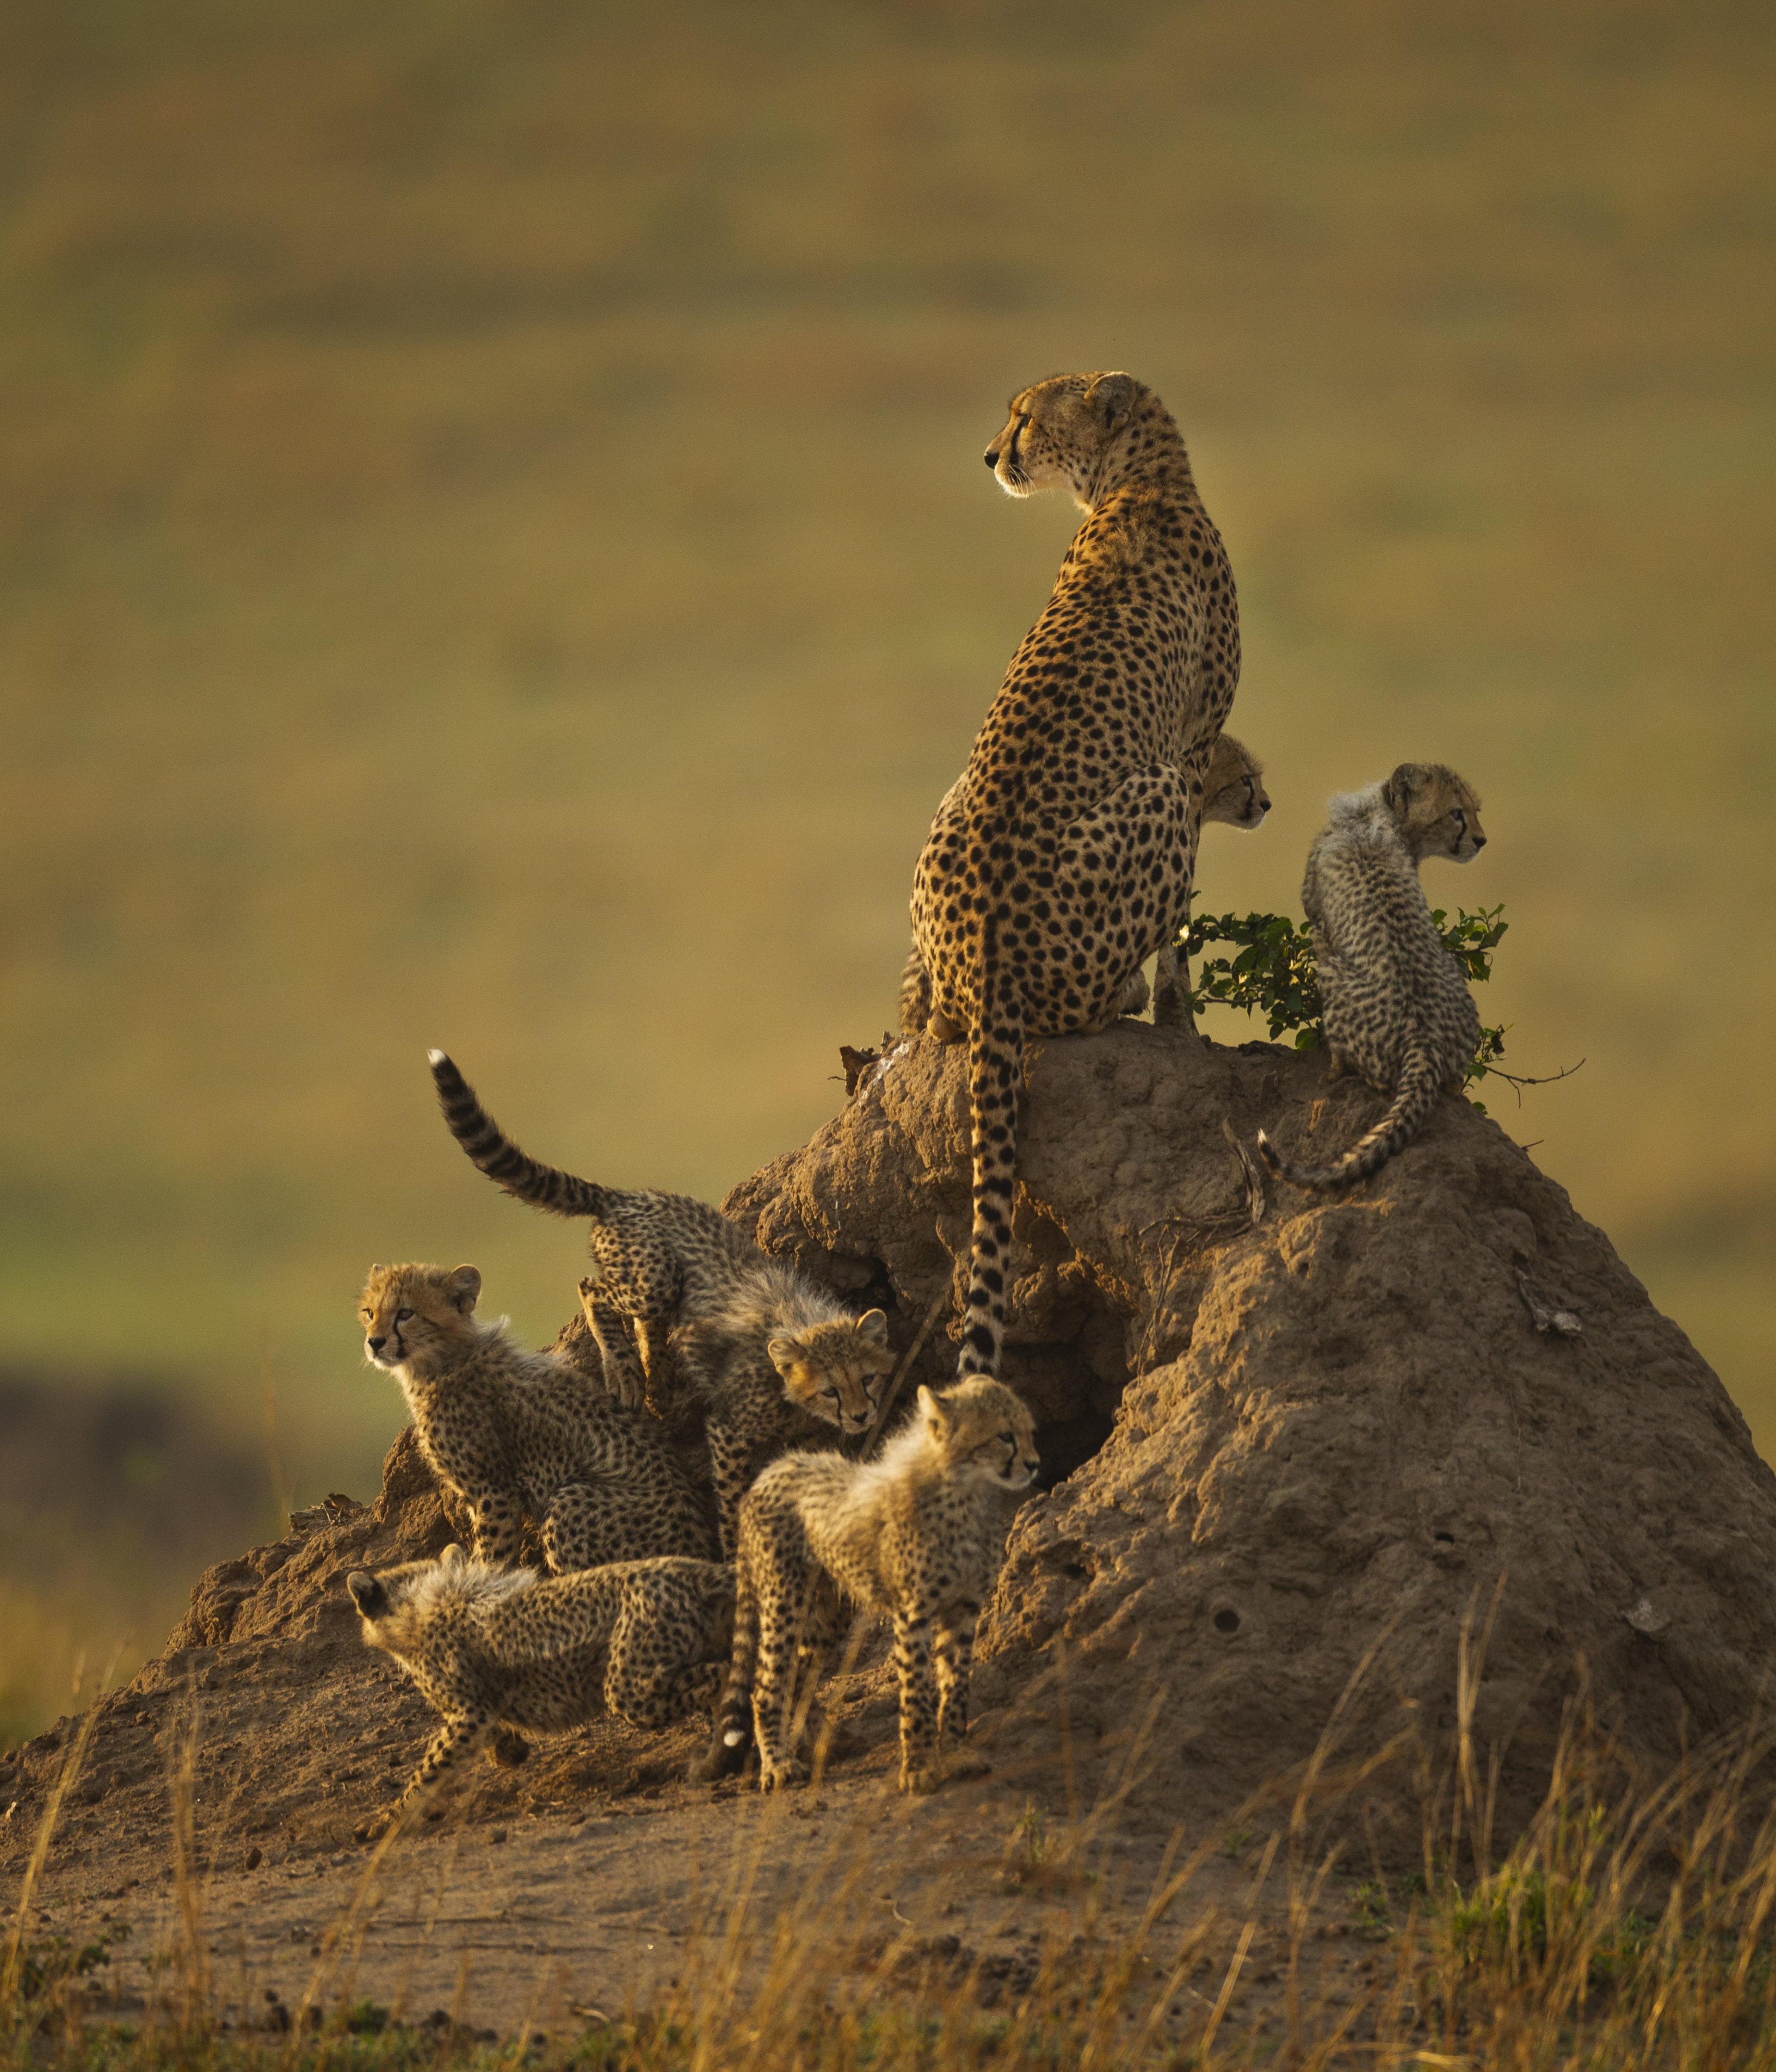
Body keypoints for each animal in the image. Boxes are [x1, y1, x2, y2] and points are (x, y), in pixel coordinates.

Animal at [916, 373, 1235, 1375]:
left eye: (1026, 415)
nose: (991, 453)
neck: (1142, 483)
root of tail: (986, 958)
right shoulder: (1193, 746)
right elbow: (1184, 927)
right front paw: (1181, 1017)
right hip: (1157, 792)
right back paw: (1126, 998)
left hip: (946, 810)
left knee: (942, 1020)